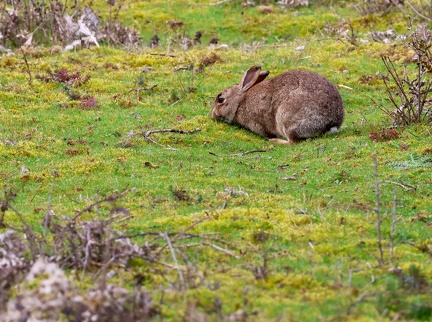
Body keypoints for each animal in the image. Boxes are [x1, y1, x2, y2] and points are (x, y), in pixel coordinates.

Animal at [209, 66, 344, 144]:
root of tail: (331, 125)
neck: (240, 102)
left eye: (220, 99)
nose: (212, 115)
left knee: (293, 141)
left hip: (286, 118)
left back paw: (275, 140)